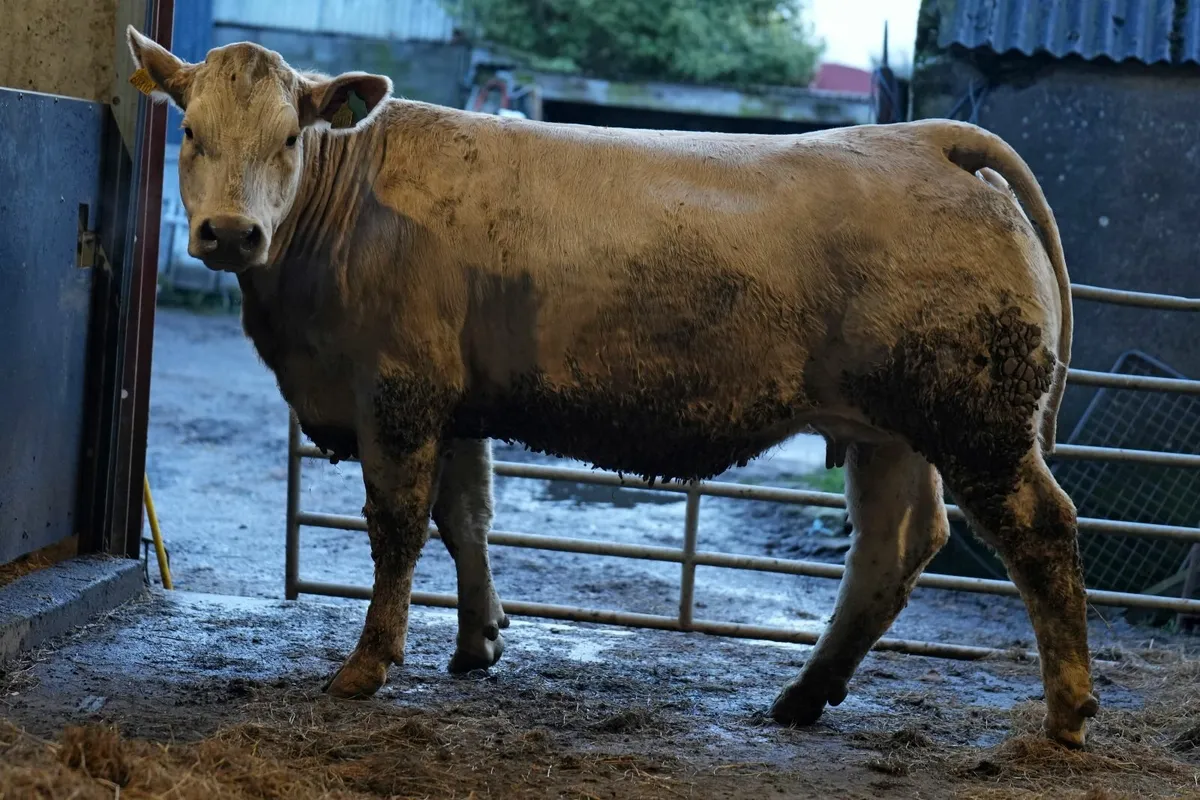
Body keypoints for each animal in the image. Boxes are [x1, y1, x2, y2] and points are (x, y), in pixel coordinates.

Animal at [125, 28, 1098, 747]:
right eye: (190, 132)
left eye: (291, 137)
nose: (229, 233)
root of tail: (924, 137)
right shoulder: (456, 401)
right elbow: (466, 515)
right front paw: (477, 642)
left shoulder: (397, 393)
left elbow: (398, 528)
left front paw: (367, 667)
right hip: (888, 428)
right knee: (896, 544)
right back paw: (801, 696)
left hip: (978, 422)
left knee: (1041, 528)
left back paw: (1068, 711)